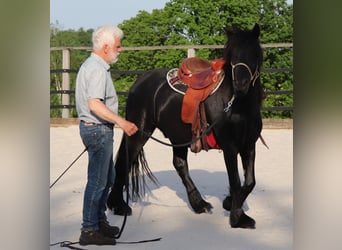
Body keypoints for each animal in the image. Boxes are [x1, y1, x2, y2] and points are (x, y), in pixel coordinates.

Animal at [108, 23, 264, 229]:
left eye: (254, 53)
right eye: (233, 55)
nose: (241, 85)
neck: (238, 105)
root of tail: (140, 82)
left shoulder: (249, 146)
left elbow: (250, 182)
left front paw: (229, 203)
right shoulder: (230, 147)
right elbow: (237, 182)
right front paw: (238, 218)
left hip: (178, 136)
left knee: (179, 164)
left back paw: (199, 204)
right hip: (139, 133)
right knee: (124, 162)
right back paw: (118, 206)